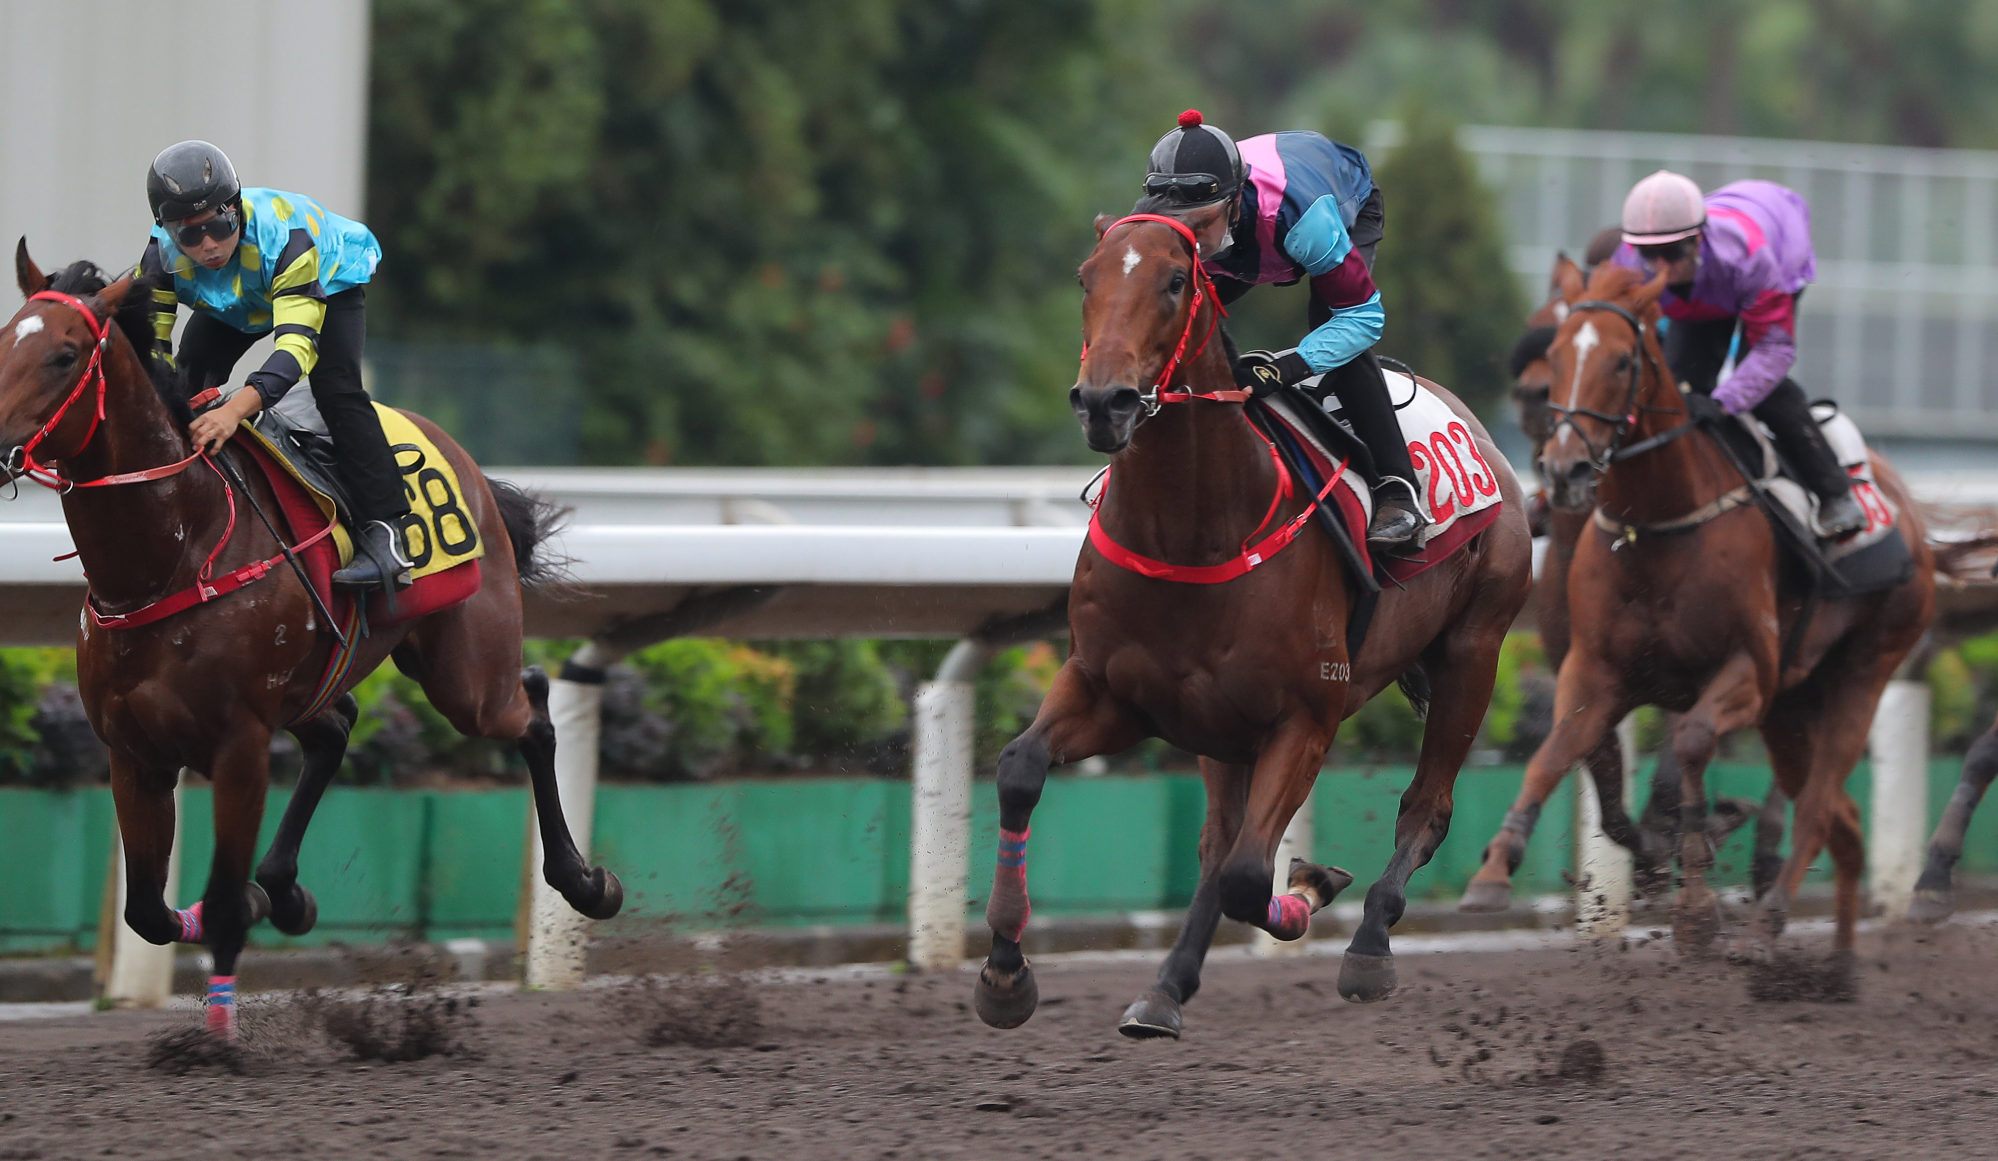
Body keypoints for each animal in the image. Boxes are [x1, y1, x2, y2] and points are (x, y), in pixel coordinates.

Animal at [0, 239, 619, 1039]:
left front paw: (219, 1032)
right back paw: (285, 890)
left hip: (468, 674)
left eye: (65, 354)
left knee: (534, 706)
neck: (174, 555)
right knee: (337, 725)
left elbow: (220, 900)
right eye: (2, 341)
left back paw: (585, 881)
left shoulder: (239, 743)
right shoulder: (132, 749)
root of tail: (459, 455)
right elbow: (148, 911)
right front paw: (251, 904)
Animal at [971, 203, 1526, 1039]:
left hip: (1474, 650)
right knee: (1218, 840)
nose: (1104, 403)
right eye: (1085, 277)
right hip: (1220, 728)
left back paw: (1368, 943)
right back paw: (1165, 987)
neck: (1190, 532)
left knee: (1424, 808)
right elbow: (1019, 769)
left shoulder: (1307, 716)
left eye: (1175, 280)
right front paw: (1006, 972)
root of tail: (1483, 433)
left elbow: (1248, 876)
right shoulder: (1112, 688)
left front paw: (1311, 883)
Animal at [1470, 261, 1934, 967]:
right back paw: (1840, 957)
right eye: (1559, 353)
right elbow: (1556, 753)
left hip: (1866, 668)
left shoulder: (1747, 671)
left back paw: (1767, 922)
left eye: (1623, 358)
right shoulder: (1595, 671)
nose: (1566, 468)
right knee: (1843, 817)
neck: (1657, 526)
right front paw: (1496, 867)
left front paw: (1695, 899)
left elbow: (1689, 743)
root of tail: (1905, 504)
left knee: (1820, 804)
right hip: (1793, 706)